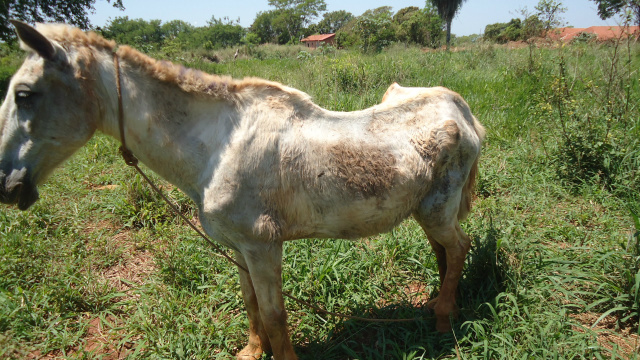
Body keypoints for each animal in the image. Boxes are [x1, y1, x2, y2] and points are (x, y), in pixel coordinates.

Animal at [0, 21, 484, 358]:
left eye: (24, 94)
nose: (8, 185)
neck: (219, 147)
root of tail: (461, 110)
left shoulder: (262, 246)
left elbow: (274, 315)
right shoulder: (237, 247)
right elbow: (251, 305)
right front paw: (252, 351)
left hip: (438, 209)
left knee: (459, 246)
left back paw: (444, 317)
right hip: (425, 210)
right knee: (444, 250)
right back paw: (438, 301)